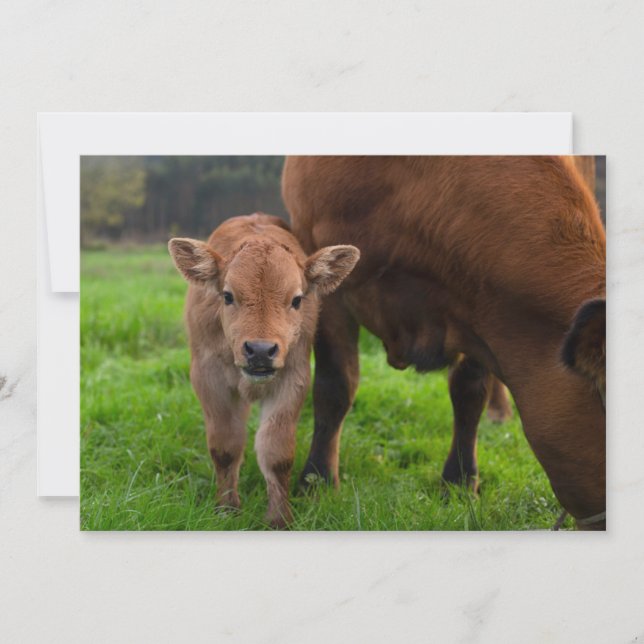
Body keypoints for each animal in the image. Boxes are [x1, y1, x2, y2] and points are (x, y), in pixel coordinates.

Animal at [168, 214, 359, 528]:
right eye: (228, 296)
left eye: (296, 300)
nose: (259, 350)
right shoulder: (209, 379)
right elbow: (225, 447)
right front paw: (227, 509)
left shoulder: (293, 379)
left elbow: (277, 453)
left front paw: (279, 519)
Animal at [282, 156, 606, 530]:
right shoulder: (324, 272)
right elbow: (335, 386)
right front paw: (316, 482)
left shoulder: (481, 307)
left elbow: (469, 392)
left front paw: (460, 481)